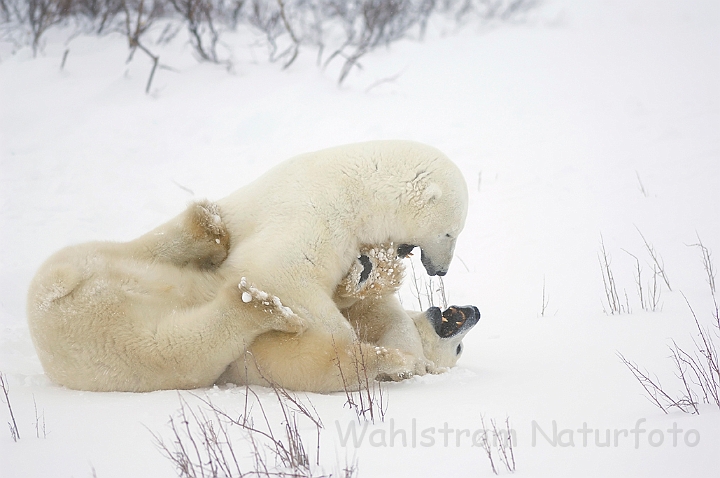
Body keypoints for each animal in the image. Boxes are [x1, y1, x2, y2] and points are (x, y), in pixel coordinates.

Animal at [26, 141, 466, 392]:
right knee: (175, 346)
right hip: (114, 346)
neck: (357, 188)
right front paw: (351, 338)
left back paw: (206, 229)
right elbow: (281, 273)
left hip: (102, 264)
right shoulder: (315, 215)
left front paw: (370, 274)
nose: (441, 271)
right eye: (451, 232)